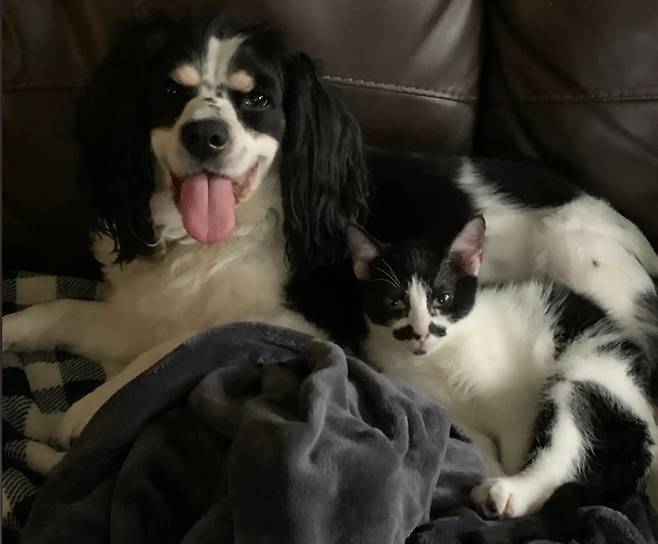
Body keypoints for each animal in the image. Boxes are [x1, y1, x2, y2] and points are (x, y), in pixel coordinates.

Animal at [347, 217, 658, 519]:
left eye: (443, 299)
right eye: (394, 302)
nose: (421, 333)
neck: (439, 359)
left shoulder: (517, 407)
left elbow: (515, 443)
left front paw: (508, 474)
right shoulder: (447, 409)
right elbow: (481, 445)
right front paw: (492, 469)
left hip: (591, 374)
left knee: (564, 450)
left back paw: (511, 492)